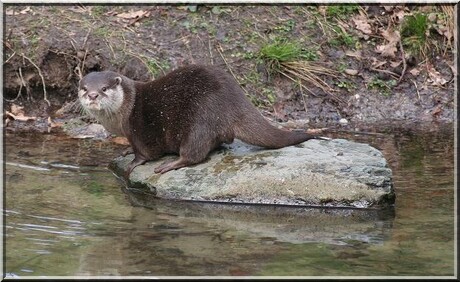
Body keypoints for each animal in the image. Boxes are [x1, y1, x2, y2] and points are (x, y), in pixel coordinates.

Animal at [78, 65, 316, 177]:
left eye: (104, 88)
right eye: (84, 88)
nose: (92, 95)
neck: (125, 110)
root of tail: (237, 101)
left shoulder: (139, 129)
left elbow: (146, 153)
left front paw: (133, 162)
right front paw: (126, 151)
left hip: (200, 120)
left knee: (195, 153)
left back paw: (170, 165)